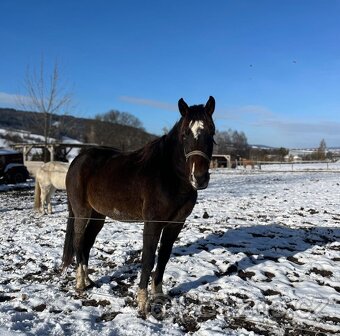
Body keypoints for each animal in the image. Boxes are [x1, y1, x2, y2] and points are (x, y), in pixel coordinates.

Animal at [62, 96, 215, 314]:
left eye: (211, 131)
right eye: (185, 133)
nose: (200, 178)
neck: (169, 175)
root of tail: (77, 160)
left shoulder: (175, 224)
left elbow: (164, 257)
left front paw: (158, 294)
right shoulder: (152, 224)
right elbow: (148, 259)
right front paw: (143, 302)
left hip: (98, 215)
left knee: (86, 243)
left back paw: (88, 280)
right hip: (82, 212)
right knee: (77, 242)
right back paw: (80, 284)